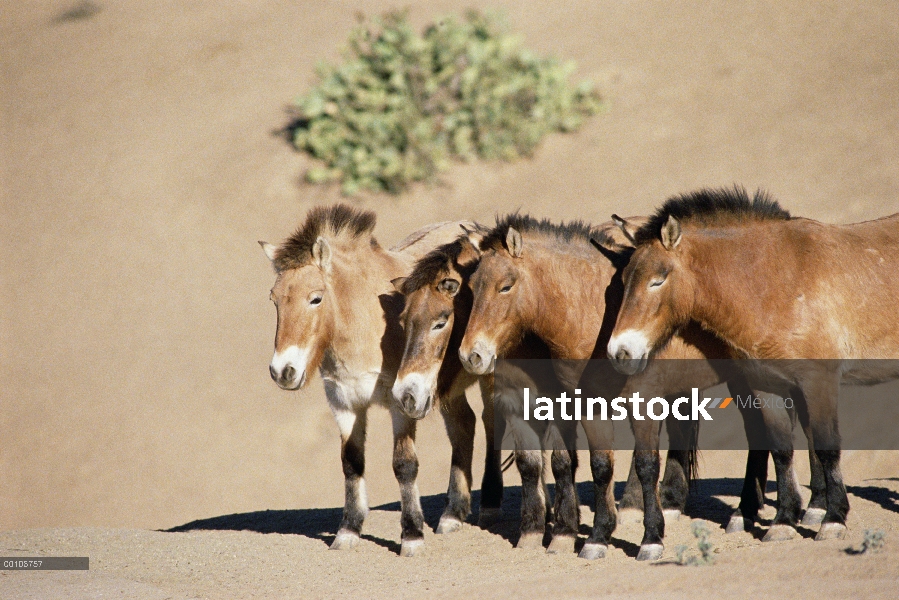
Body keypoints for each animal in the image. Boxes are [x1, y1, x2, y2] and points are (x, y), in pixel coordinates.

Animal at [260, 204, 486, 556]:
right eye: (275, 299)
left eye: (315, 298)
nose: (283, 371)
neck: (364, 321)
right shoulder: (344, 403)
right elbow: (351, 463)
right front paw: (349, 530)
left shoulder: (401, 403)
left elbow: (404, 465)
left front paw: (412, 535)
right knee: (464, 426)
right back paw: (453, 514)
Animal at [608, 189, 899, 544]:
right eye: (623, 279)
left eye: (657, 280)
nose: (620, 351)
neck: (777, 280)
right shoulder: (766, 384)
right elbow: (780, 447)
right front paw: (784, 520)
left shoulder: (819, 381)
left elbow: (826, 446)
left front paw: (833, 519)